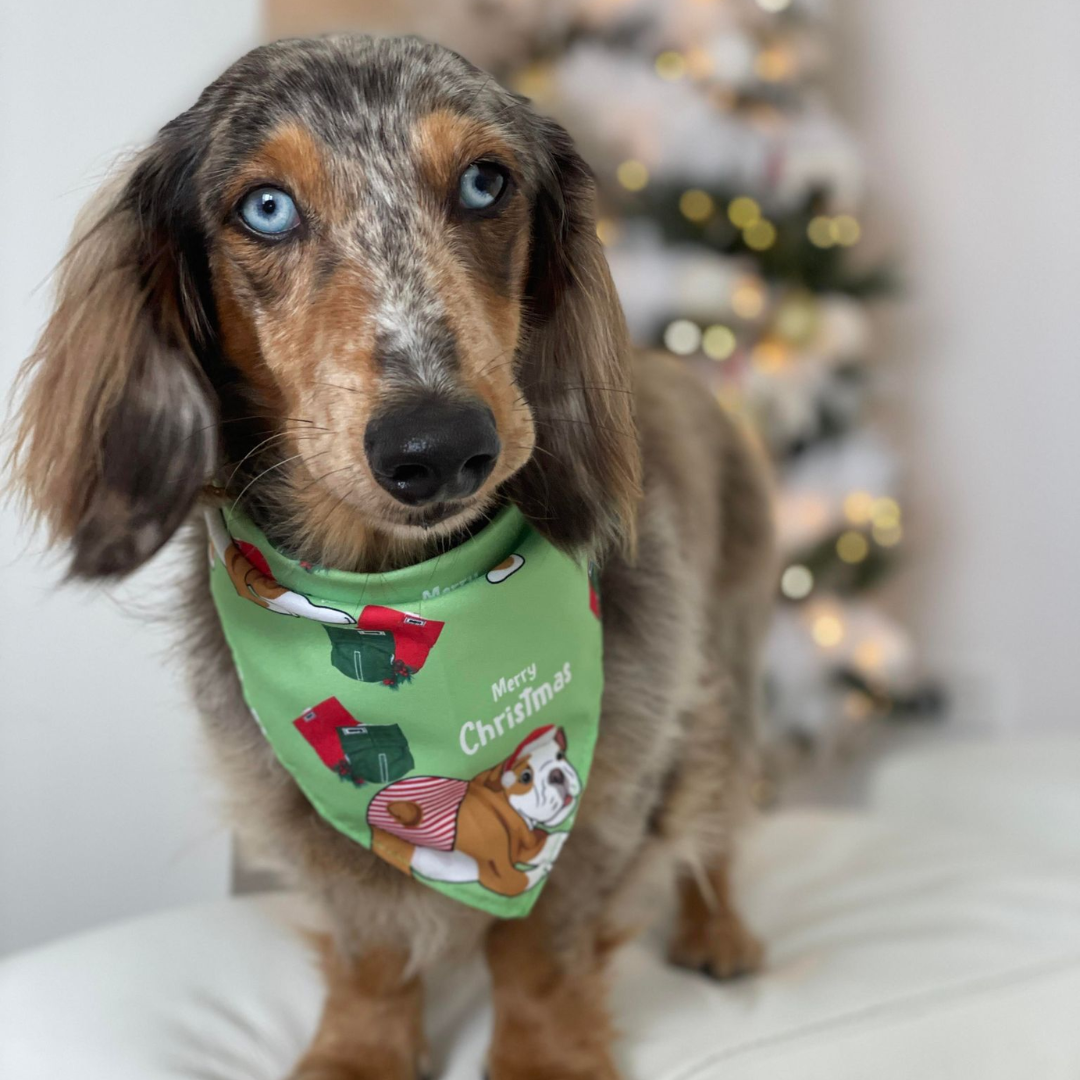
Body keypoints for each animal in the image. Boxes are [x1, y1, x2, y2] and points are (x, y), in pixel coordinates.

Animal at [14, 33, 777, 1080]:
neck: (400, 583)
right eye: (265, 207)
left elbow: (540, 945)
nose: (439, 447)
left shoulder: (619, 773)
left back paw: (719, 930)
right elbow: (370, 941)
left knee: (719, 824)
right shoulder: (308, 804)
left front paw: (542, 1056)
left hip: (723, 679)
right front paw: (361, 1050)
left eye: (487, 184)